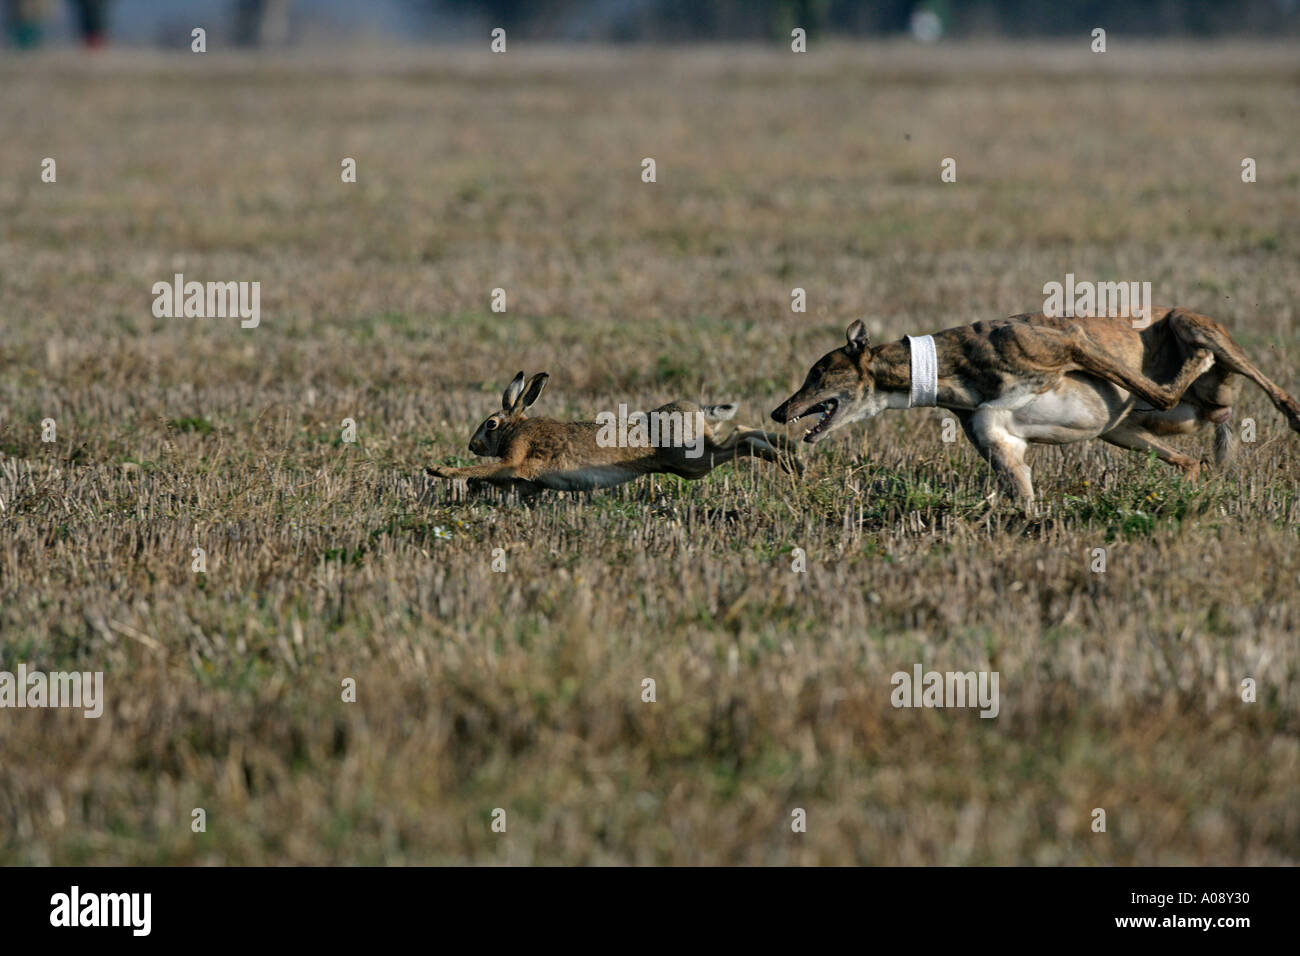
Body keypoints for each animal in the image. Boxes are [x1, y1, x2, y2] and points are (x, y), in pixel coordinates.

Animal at [428, 371, 800, 496]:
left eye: (491, 424)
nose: (473, 444)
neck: (516, 427)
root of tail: (696, 408)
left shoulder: (514, 460)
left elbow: (483, 469)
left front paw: (438, 470)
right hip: (692, 460)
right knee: (741, 435)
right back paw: (792, 455)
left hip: (691, 459)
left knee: (739, 435)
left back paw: (789, 458)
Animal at [769, 310, 1300, 509]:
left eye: (818, 372)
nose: (778, 412)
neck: (954, 364)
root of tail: (1217, 408)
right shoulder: (1000, 443)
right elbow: (1022, 494)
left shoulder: (1071, 342)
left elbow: (1157, 388)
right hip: (1126, 431)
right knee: (1190, 459)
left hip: (1194, 324)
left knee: (1265, 389)